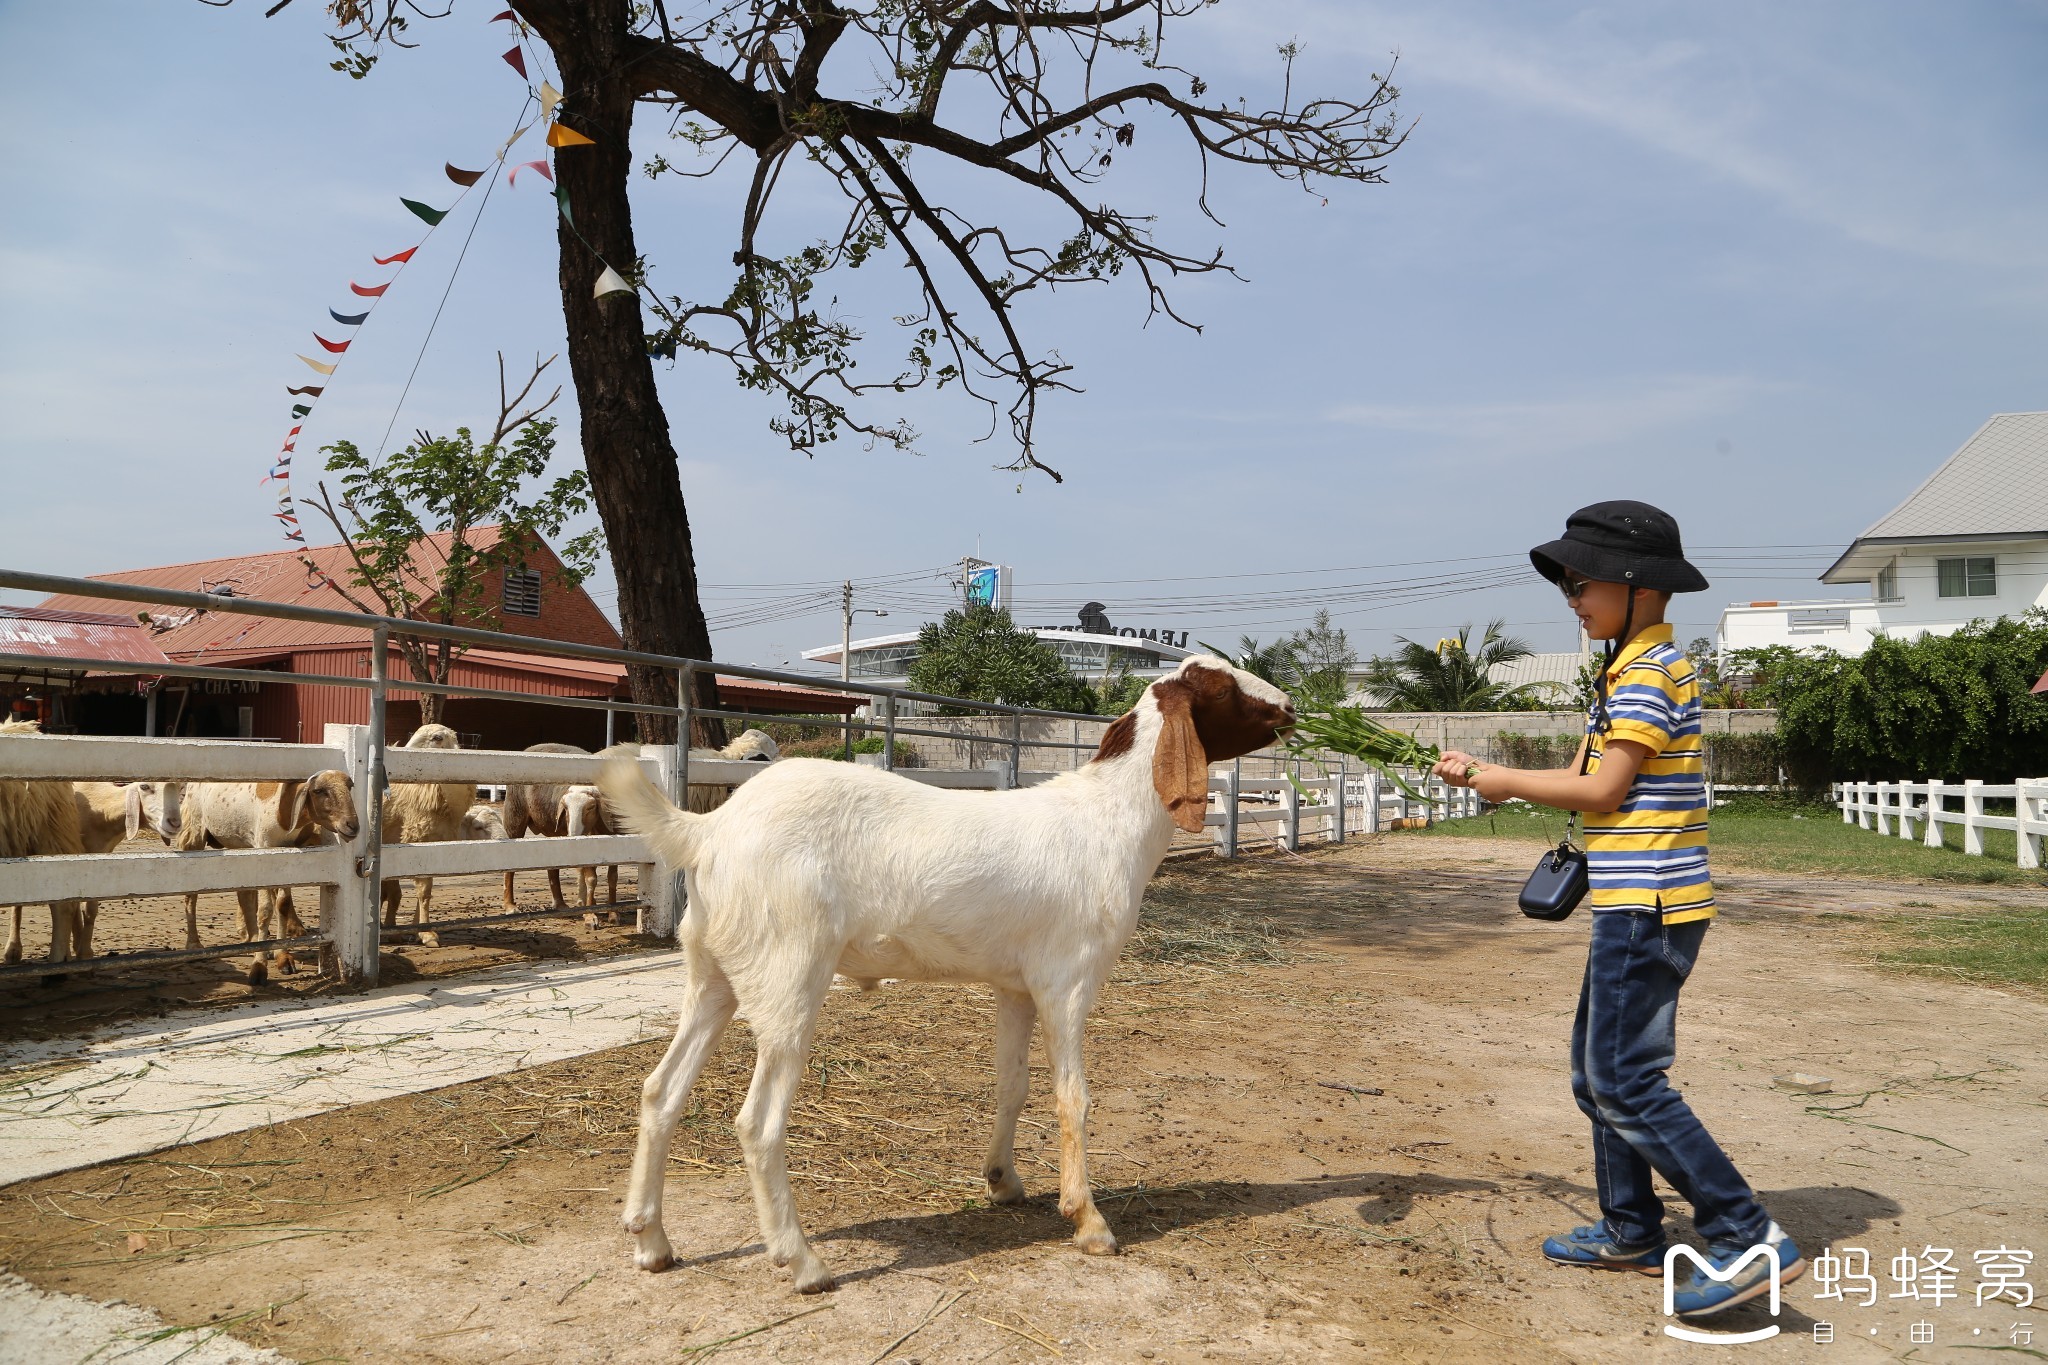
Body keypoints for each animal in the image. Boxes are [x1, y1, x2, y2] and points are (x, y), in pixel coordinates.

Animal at [378, 724, 468, 949]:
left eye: (437, 738)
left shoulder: (431, 844)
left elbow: (422, 892)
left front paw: (413, 930)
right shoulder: (416, 839)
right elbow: (421, 891)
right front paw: (426, 933)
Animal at [598, 654, 1294, 1293]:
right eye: (1222, 688)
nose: (1289, 707)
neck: (1106, 821)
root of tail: (708, 829)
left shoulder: (1015, 985)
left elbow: (1012, 1085)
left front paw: (1003, 1181)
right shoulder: (1067, 980)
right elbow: (1073, 1096)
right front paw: (1088, 1220)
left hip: (713, 970)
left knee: (661, 1091)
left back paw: (651, 1241)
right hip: (788, 973)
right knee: (757, 1122)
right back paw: (801, 1262)